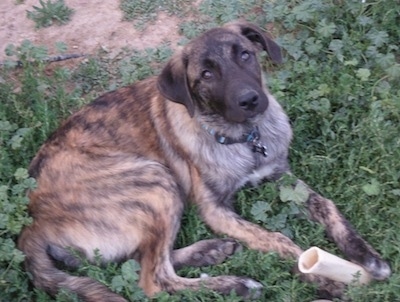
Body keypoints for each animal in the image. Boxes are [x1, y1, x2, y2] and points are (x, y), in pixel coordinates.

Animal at [18, 20, 390, 300]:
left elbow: (327, 206)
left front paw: (366, 257)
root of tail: (32, 222)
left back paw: (210, 252)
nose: (251, 100)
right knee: (154, 278)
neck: (245, 138)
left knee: (145, 258)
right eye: (206, 75)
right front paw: (327, 281)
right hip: (154, 181)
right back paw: (237, 285)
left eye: (245, 55)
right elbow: (279, 240)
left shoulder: (280, 175)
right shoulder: (216, 209)